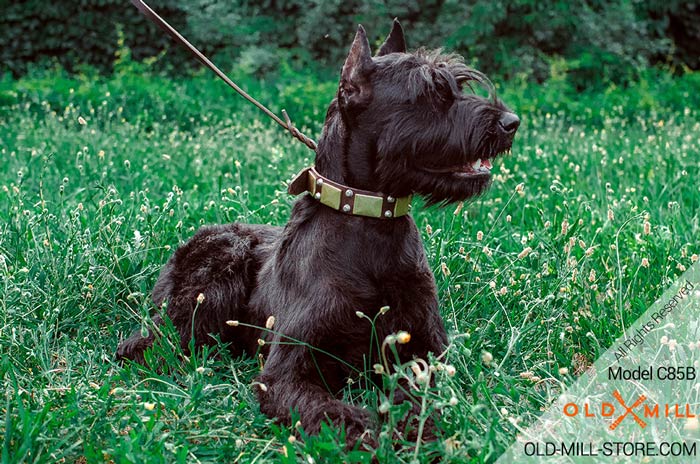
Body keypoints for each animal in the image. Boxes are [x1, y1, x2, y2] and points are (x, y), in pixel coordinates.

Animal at [117, 20, 516, 446]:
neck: (369, 225)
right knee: (147, 345)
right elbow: (333, 412)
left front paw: (414, 421)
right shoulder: (288, 371)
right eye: (431, 91)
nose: (511, 123)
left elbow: (420, 392)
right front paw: (380, 432)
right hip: (216, 275)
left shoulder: (427, 350)